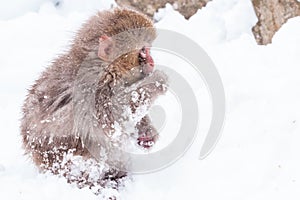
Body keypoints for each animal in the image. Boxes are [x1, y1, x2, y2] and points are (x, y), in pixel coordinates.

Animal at [20, 8, 168, 193]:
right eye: (143, 50)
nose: (152, 61)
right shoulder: (91, 92)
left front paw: (147, 132)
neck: (106, 69)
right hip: (62, 161)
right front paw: (157, 81)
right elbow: (111, 118)